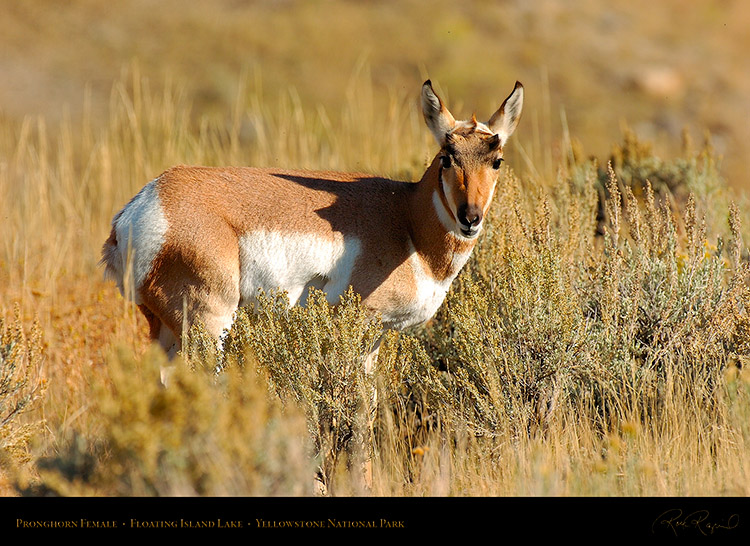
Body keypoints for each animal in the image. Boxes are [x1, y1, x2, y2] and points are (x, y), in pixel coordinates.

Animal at [101, 81, 524, 360]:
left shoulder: (376, 338)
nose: (470, 217)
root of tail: (146, 202)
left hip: (165, 332)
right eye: (447, 157)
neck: (406, 219)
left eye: (497, 160)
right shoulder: (362, 327)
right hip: (209, 323)